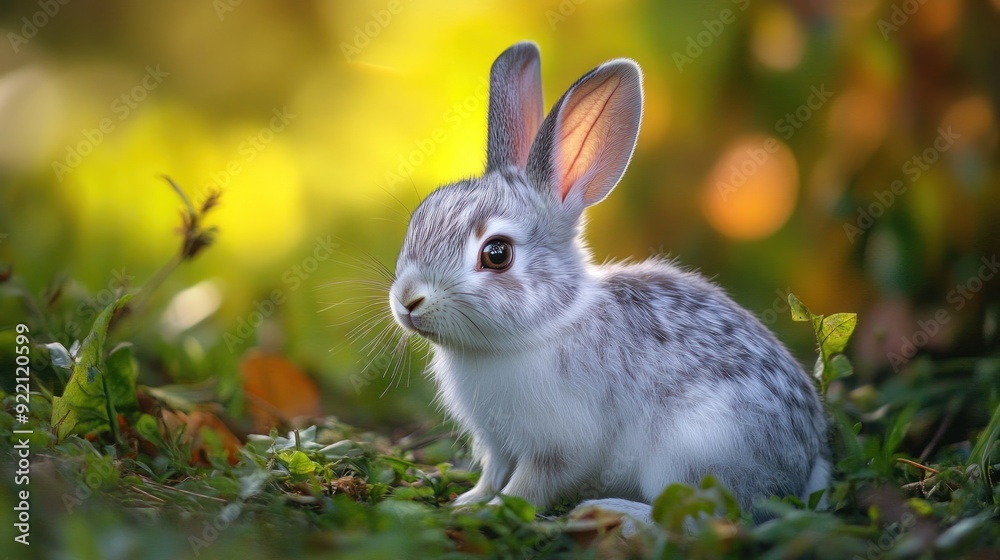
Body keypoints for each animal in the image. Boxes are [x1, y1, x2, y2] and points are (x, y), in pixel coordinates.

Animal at [387, 41, 830, 527]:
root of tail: (800, 469)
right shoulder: (497, 442)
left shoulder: (560, 446)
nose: (408, 300)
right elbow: (492, 472)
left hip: (690, 452)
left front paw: (498, 510)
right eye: (418, 218)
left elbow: (531, 484)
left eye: (496, 254)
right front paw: (470, 501)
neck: (546, 323)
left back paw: (608, 510)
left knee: (699, 513)